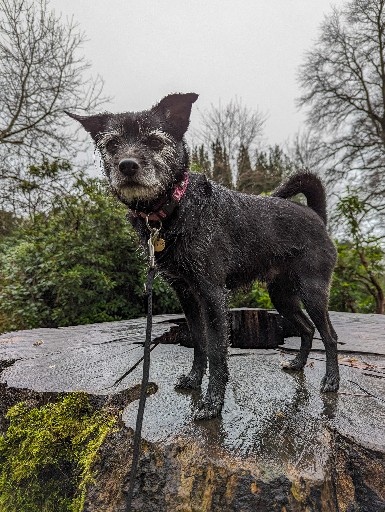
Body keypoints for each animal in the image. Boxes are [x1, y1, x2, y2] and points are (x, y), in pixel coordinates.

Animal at [67, 93, 340, 420]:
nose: (127, 166)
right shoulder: (186, 295)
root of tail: (316, 216)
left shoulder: (212, 294)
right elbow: (199, 342)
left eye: (155, 141)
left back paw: (331, 380)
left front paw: (212, 403)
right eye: (112, 144)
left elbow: (218, 352)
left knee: (329, 335)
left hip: (312, 291)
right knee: (307, 328)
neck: (174, 208)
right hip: (281, 295)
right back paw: (298, 363)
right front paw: (195, 379)